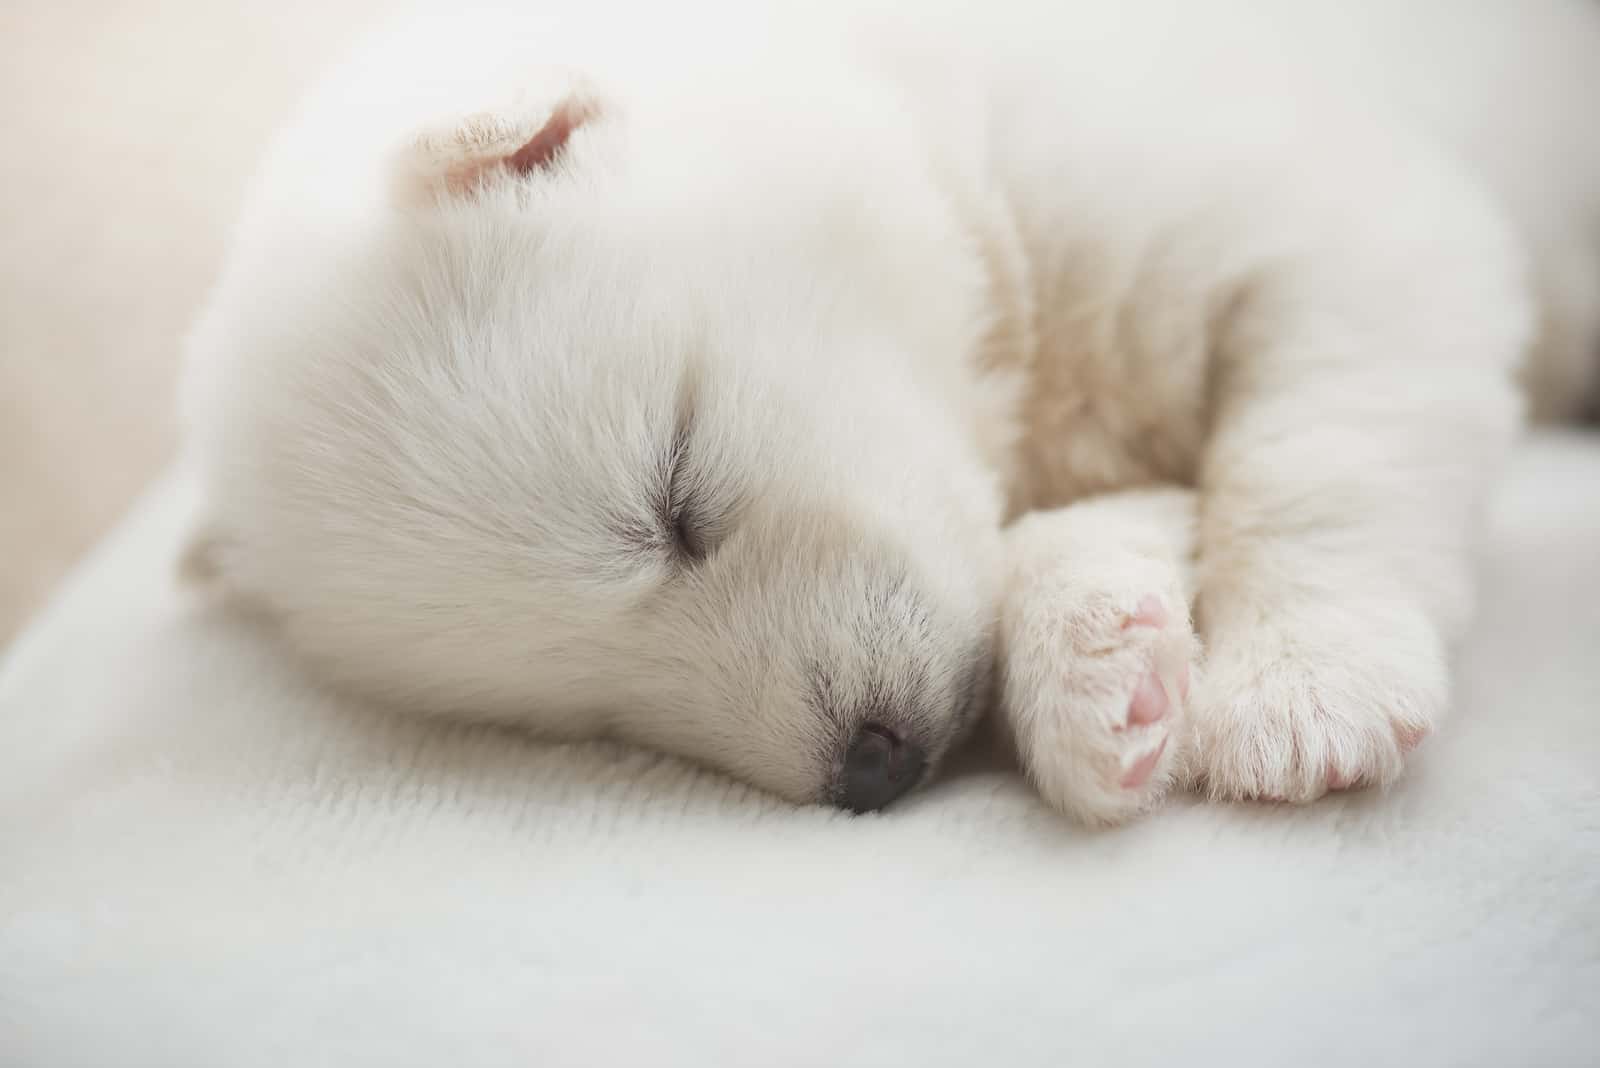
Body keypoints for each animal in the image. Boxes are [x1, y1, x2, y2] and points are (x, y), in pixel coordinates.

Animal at [178, 0, 1600, 824]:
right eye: (581, 715)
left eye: (675, 499)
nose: (872, 771)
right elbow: (1086, 528)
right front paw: (1100, 675)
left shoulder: (1325, 217)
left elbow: (1316, 455)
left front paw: (1307, 688)